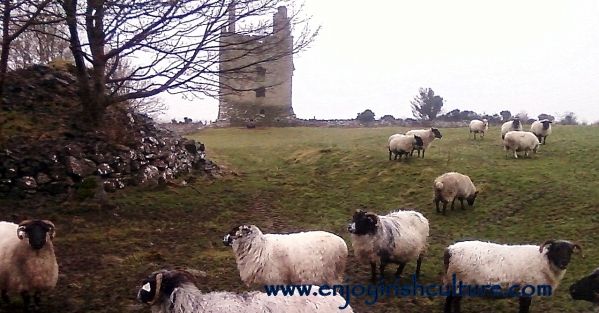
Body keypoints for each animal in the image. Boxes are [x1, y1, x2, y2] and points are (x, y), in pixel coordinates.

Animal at [442, 239, 584, 312]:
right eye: (556, 249)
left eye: (570, 251)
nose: (563, 263)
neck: (544, 261)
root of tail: (450, 250)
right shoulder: (526, 289)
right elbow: (524, 308)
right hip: (460, 282)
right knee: (455, 302)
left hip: (452, 281)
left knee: (448, 299)